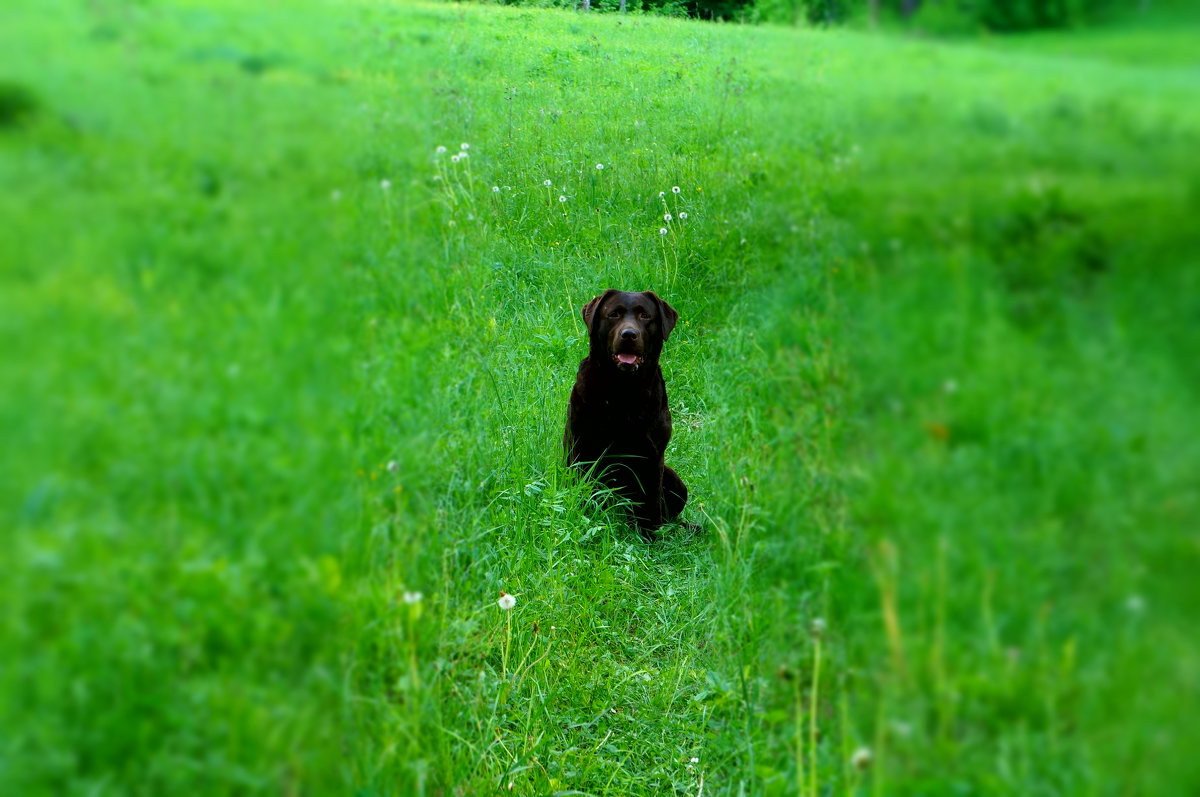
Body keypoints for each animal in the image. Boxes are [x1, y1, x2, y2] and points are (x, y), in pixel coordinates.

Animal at [561, 289, 686, 537]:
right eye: (614, 314)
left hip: (675, 480)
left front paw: (650, 535)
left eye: (645, 316)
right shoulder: (581, 449)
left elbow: (650, 500)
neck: (623, 391)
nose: (629, 334)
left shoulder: (653, 456)